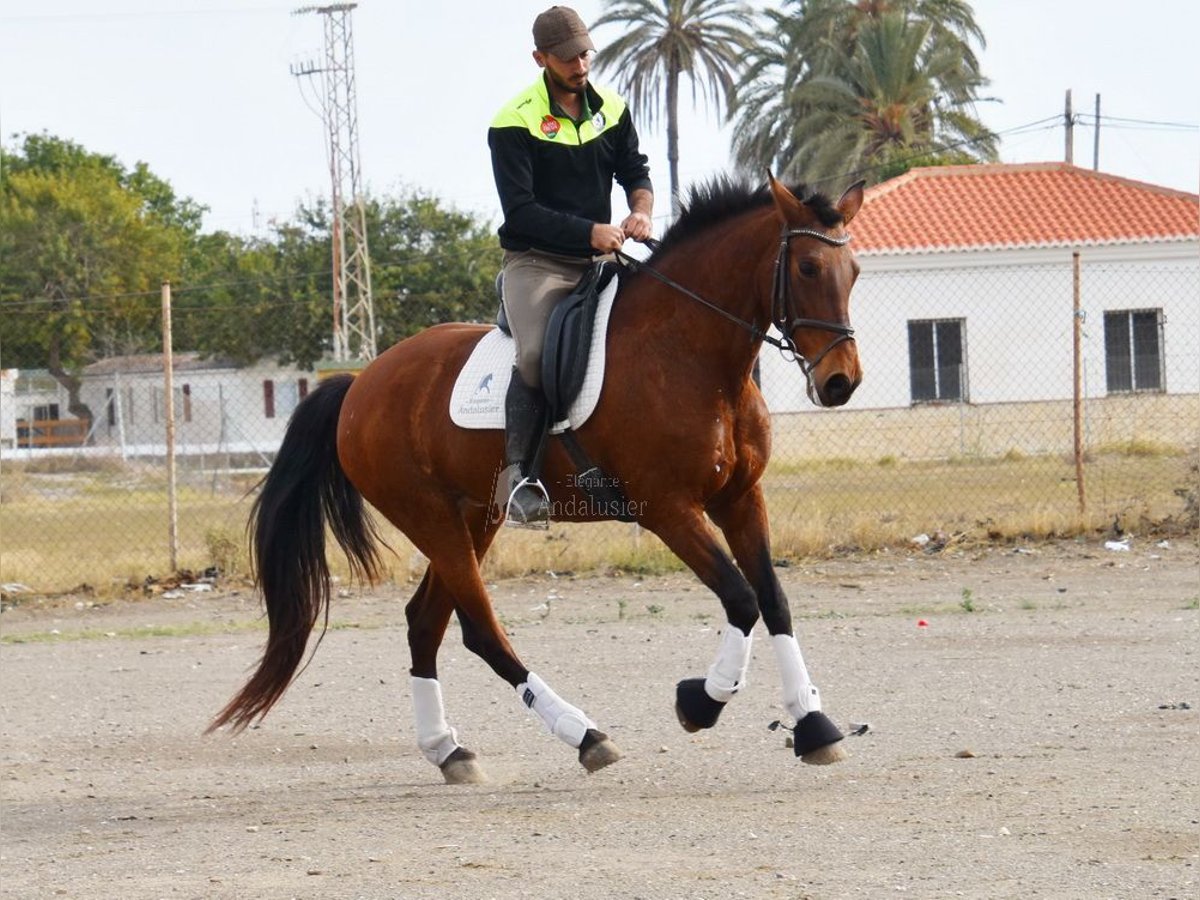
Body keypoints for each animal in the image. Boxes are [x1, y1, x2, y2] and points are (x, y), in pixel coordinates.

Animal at [208, 174, 864, 782]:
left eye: (854, 270)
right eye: (807, 266)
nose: (841, 382)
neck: (692, 355)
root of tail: (360, 382)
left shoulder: (740, 498)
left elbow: (772, 600)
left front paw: (814, 724)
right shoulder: (668, 509)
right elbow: (740, 596)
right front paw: (701, 702)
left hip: (475, 518)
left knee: (426, 623)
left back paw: (448, 750)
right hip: (433, 519)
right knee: (480, 631)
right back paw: (583, 734)